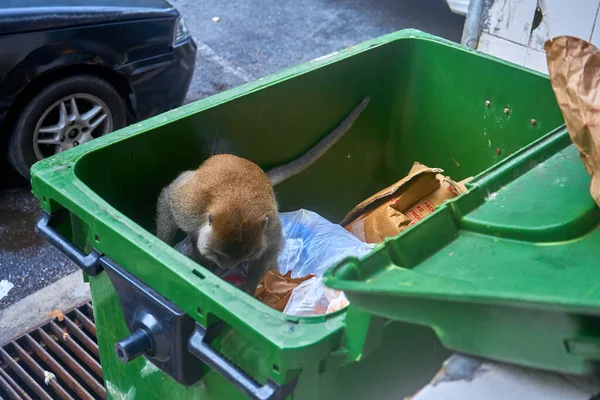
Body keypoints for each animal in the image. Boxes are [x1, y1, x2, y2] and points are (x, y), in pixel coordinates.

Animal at [155, 95, 370, 296]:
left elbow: (269, 249)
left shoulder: (269, 225)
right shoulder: (189, 207)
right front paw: (163, 245)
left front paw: (249, 287)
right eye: (218, 254)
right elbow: (167, 198)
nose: (226, 266)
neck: (234, 205)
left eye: (241, 258)